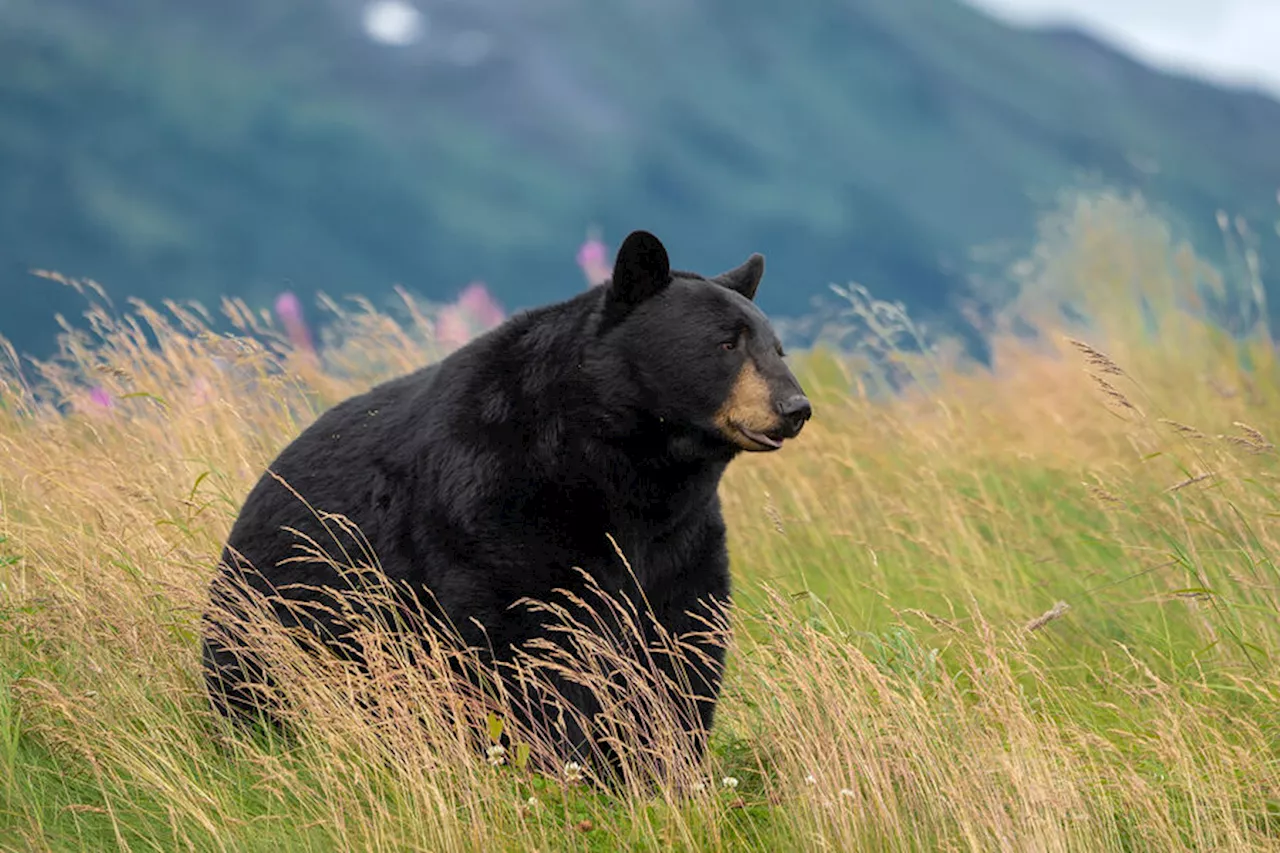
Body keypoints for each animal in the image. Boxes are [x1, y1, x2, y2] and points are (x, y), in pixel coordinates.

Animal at [204, 229, 814, 773]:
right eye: (727, 343)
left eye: (776, 346)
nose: (795, 406)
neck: (625, 466)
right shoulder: (494, 504)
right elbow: (526, 643)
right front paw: (561, 761)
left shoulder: (681, 534)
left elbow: (680, 642)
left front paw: (664, 766)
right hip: (279, 612)